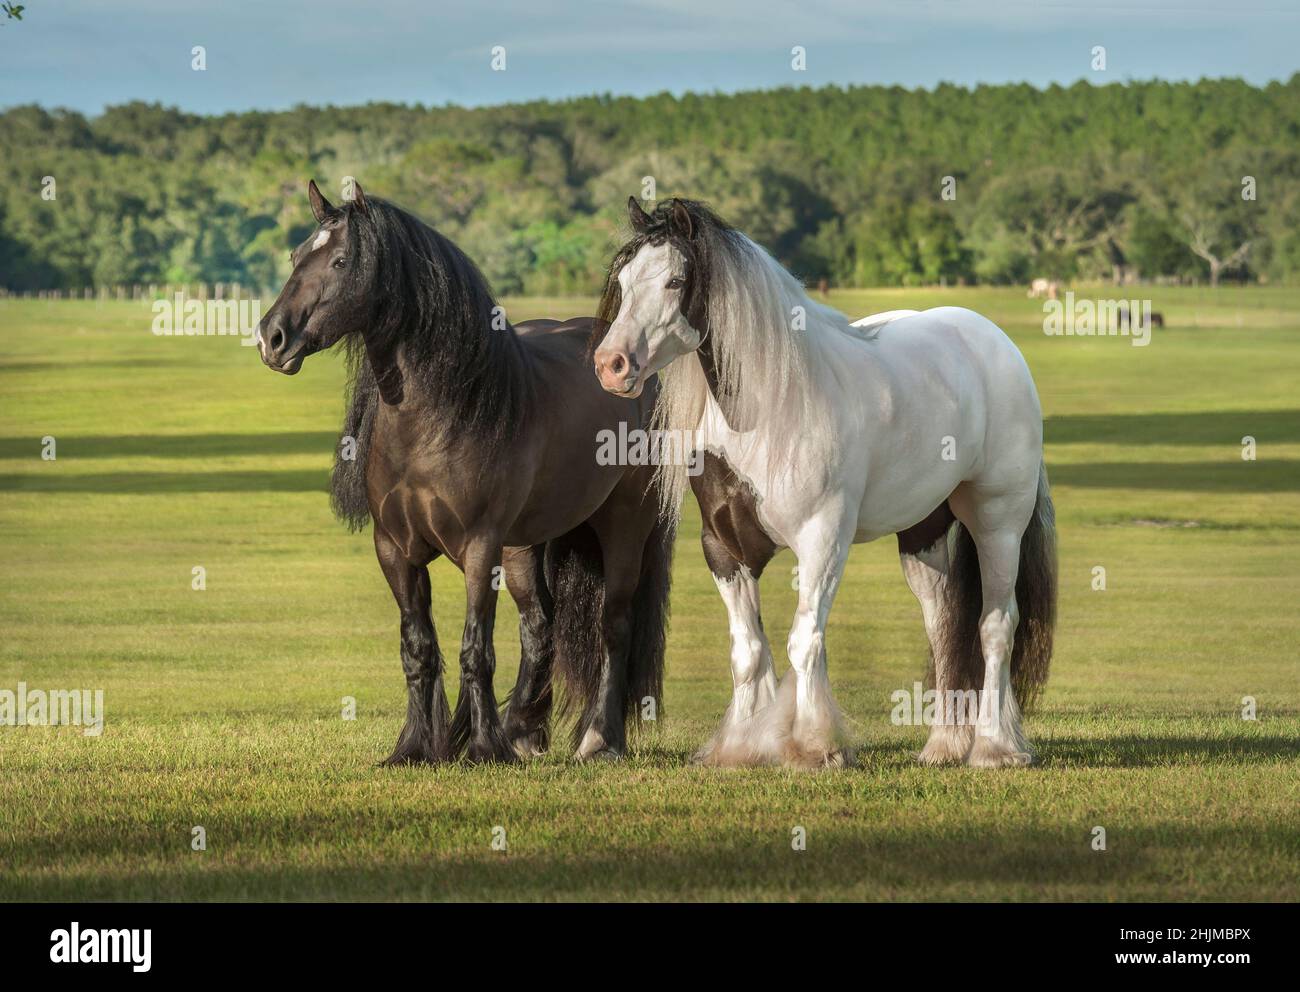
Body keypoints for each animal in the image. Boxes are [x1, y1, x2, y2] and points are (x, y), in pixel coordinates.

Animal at [257, 181, 674, 765]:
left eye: (340, 261)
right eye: (296, 256)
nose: (271, 338)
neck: (441, 415)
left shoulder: (480, 548)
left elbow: (475, 647)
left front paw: (481, 749)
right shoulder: (395, 549)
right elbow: (419, 648)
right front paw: (416, 747)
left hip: (624, 525)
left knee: (614, 623)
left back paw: (599, 742)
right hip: (527, 545)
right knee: (540, 626)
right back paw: (521, 731)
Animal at [592, 197, 1057, 769]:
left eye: (676, 280)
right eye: (624, 278)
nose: (611, 365)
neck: (770, 407)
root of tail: (994, 342)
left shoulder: (823, 540)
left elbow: (804, 640)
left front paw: (814, 745)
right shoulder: (724, 549)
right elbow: (748, 651)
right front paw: (738, 747)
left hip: (998, 522)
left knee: (995, 626)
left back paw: (994, 746)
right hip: (922, 536)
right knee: (946, 623)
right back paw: (943, 745)